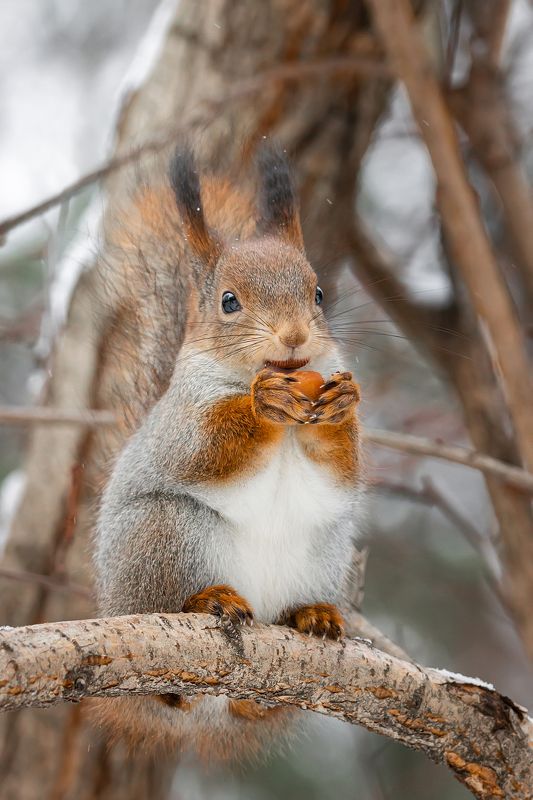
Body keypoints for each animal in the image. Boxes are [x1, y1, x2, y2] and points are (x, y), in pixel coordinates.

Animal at [94, 143, 364, 763]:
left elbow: (344, 470)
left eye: (318, 293)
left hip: (325, 552)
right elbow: (209, 449)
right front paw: (264, 403)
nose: (294, 336)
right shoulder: (184, 421)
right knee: (169, 672)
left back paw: (309, 617)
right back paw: (206, 603)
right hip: (164, 536)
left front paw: (343, 407)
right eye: (229, 302)